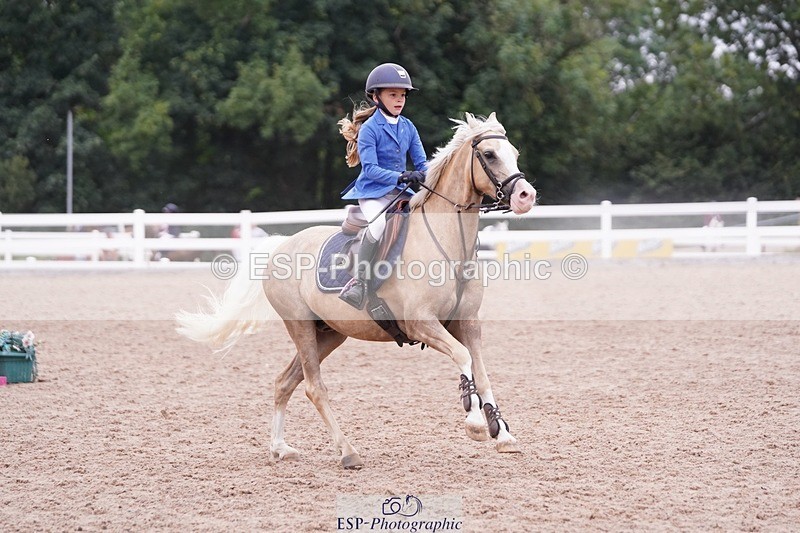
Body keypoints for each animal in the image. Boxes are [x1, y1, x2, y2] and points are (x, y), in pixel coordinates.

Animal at [176, 112, 537, 469]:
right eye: (489, 155)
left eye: (515, 153)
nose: (526, 196)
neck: (449, 246)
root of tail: (282, 244)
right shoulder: (421, 323)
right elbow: (463, 357)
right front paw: (475, 423)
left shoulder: (468, 322)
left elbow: (481, 370)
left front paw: (503, 434)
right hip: (300, 326)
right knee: (313, 387)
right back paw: (347, 451)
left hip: (330, 333)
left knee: (284, 382)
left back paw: (280, 448)